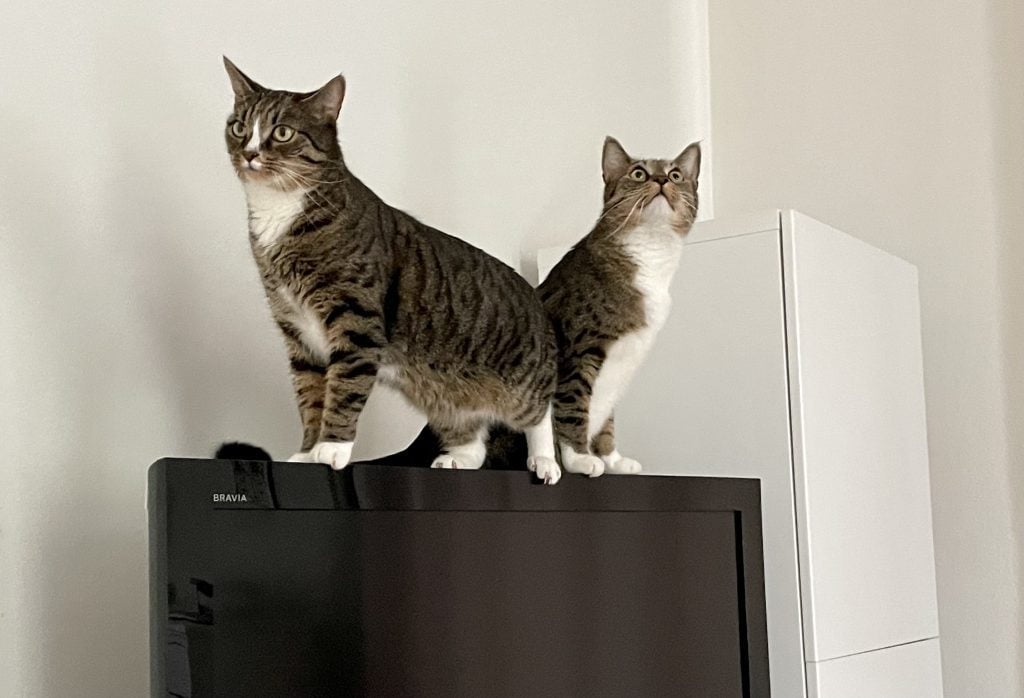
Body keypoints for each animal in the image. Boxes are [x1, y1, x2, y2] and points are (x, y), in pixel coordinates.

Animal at [224, 57, 561, 481]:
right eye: (239, 127)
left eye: (282, 132)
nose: (250, 153)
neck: (281, 210)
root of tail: (533, 295)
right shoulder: (297, 331)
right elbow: (310, 395)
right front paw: (306, 452)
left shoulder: (355, 319)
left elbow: (343, 389)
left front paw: (331, 449)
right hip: (443, 393)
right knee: (472, 438)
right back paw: (457, 458)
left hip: (521, 381)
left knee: (540, 411)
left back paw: (545, 461)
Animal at [540, 134, 700, 474]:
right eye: (638, 173)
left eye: (676, 174)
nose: (661, 179)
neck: (649, 250)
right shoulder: (579, 346)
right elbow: (574, 405)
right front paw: (579, 458)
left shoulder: (625, 361)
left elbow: (608, 419)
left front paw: (611, 459)